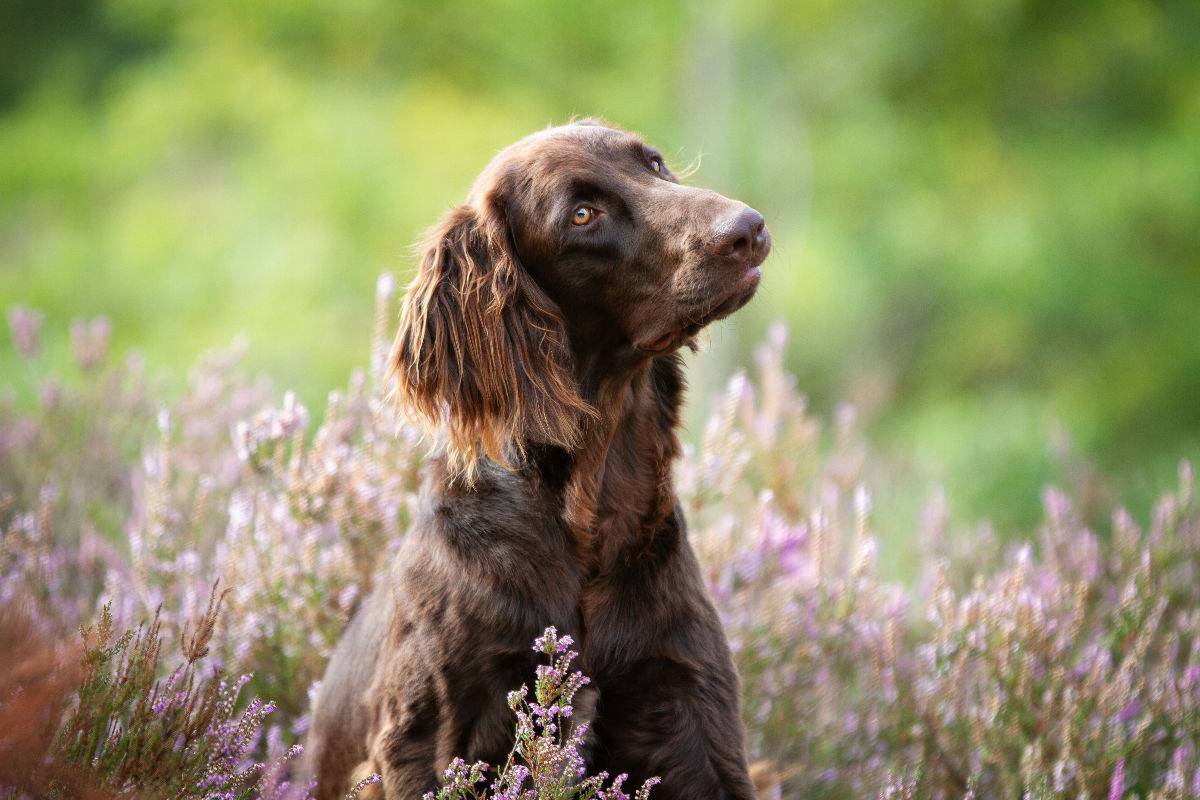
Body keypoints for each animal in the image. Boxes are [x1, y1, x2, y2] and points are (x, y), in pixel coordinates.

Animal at [307, 118, 768, 800]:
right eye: (581, 215)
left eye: (654, 163)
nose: (748, 228)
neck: (588, 516)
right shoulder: (430, 739)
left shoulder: (690, 711)